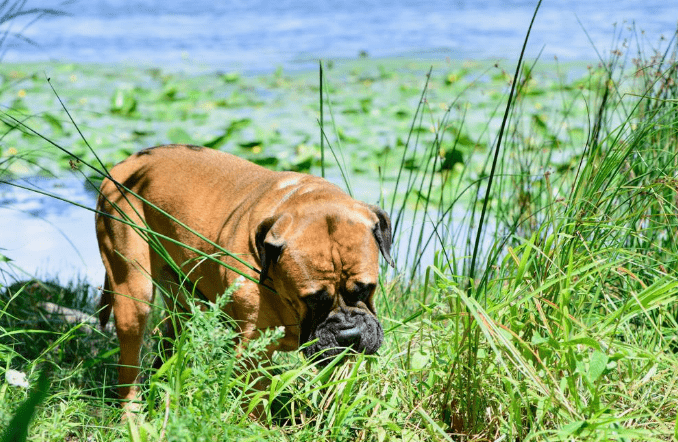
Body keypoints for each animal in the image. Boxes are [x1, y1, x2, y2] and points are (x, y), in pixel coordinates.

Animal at [93, 145, 396, 410]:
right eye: (312, 300)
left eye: (365, 289)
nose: (349, 335)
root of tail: (126, 164)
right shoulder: (252, 351)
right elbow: (256, 404)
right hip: (133, 294)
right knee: (129, 365)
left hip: (182, 302)